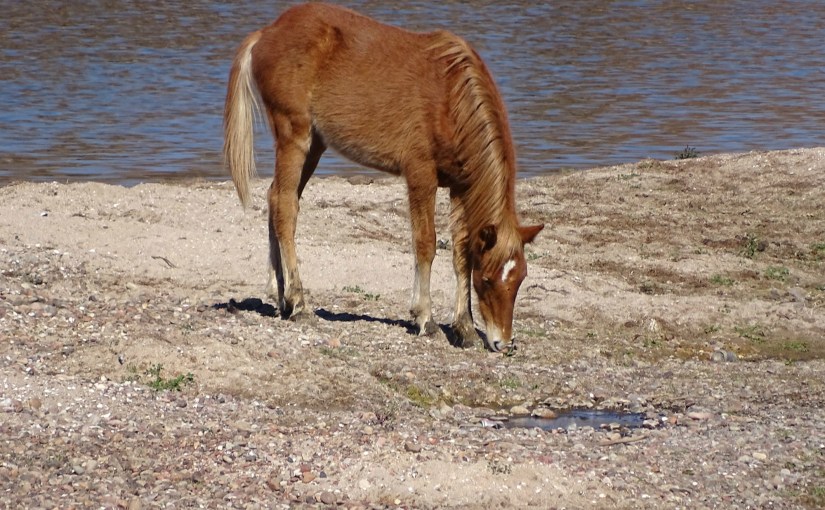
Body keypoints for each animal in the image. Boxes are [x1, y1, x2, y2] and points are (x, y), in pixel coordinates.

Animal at [223, 3, 543, 352]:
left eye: (520, 278)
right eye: (486, 279)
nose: (504, 343)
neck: (449, 96)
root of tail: (267, 33)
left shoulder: (459, 186)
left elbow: (460, 253)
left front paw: (466, 329)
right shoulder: (420, 174)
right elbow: (425, 243)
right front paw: (425, 318)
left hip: (315, 145)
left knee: (276, 197)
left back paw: (281, 295)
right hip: (294, 136)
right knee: (284, 205)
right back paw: (299, 303)